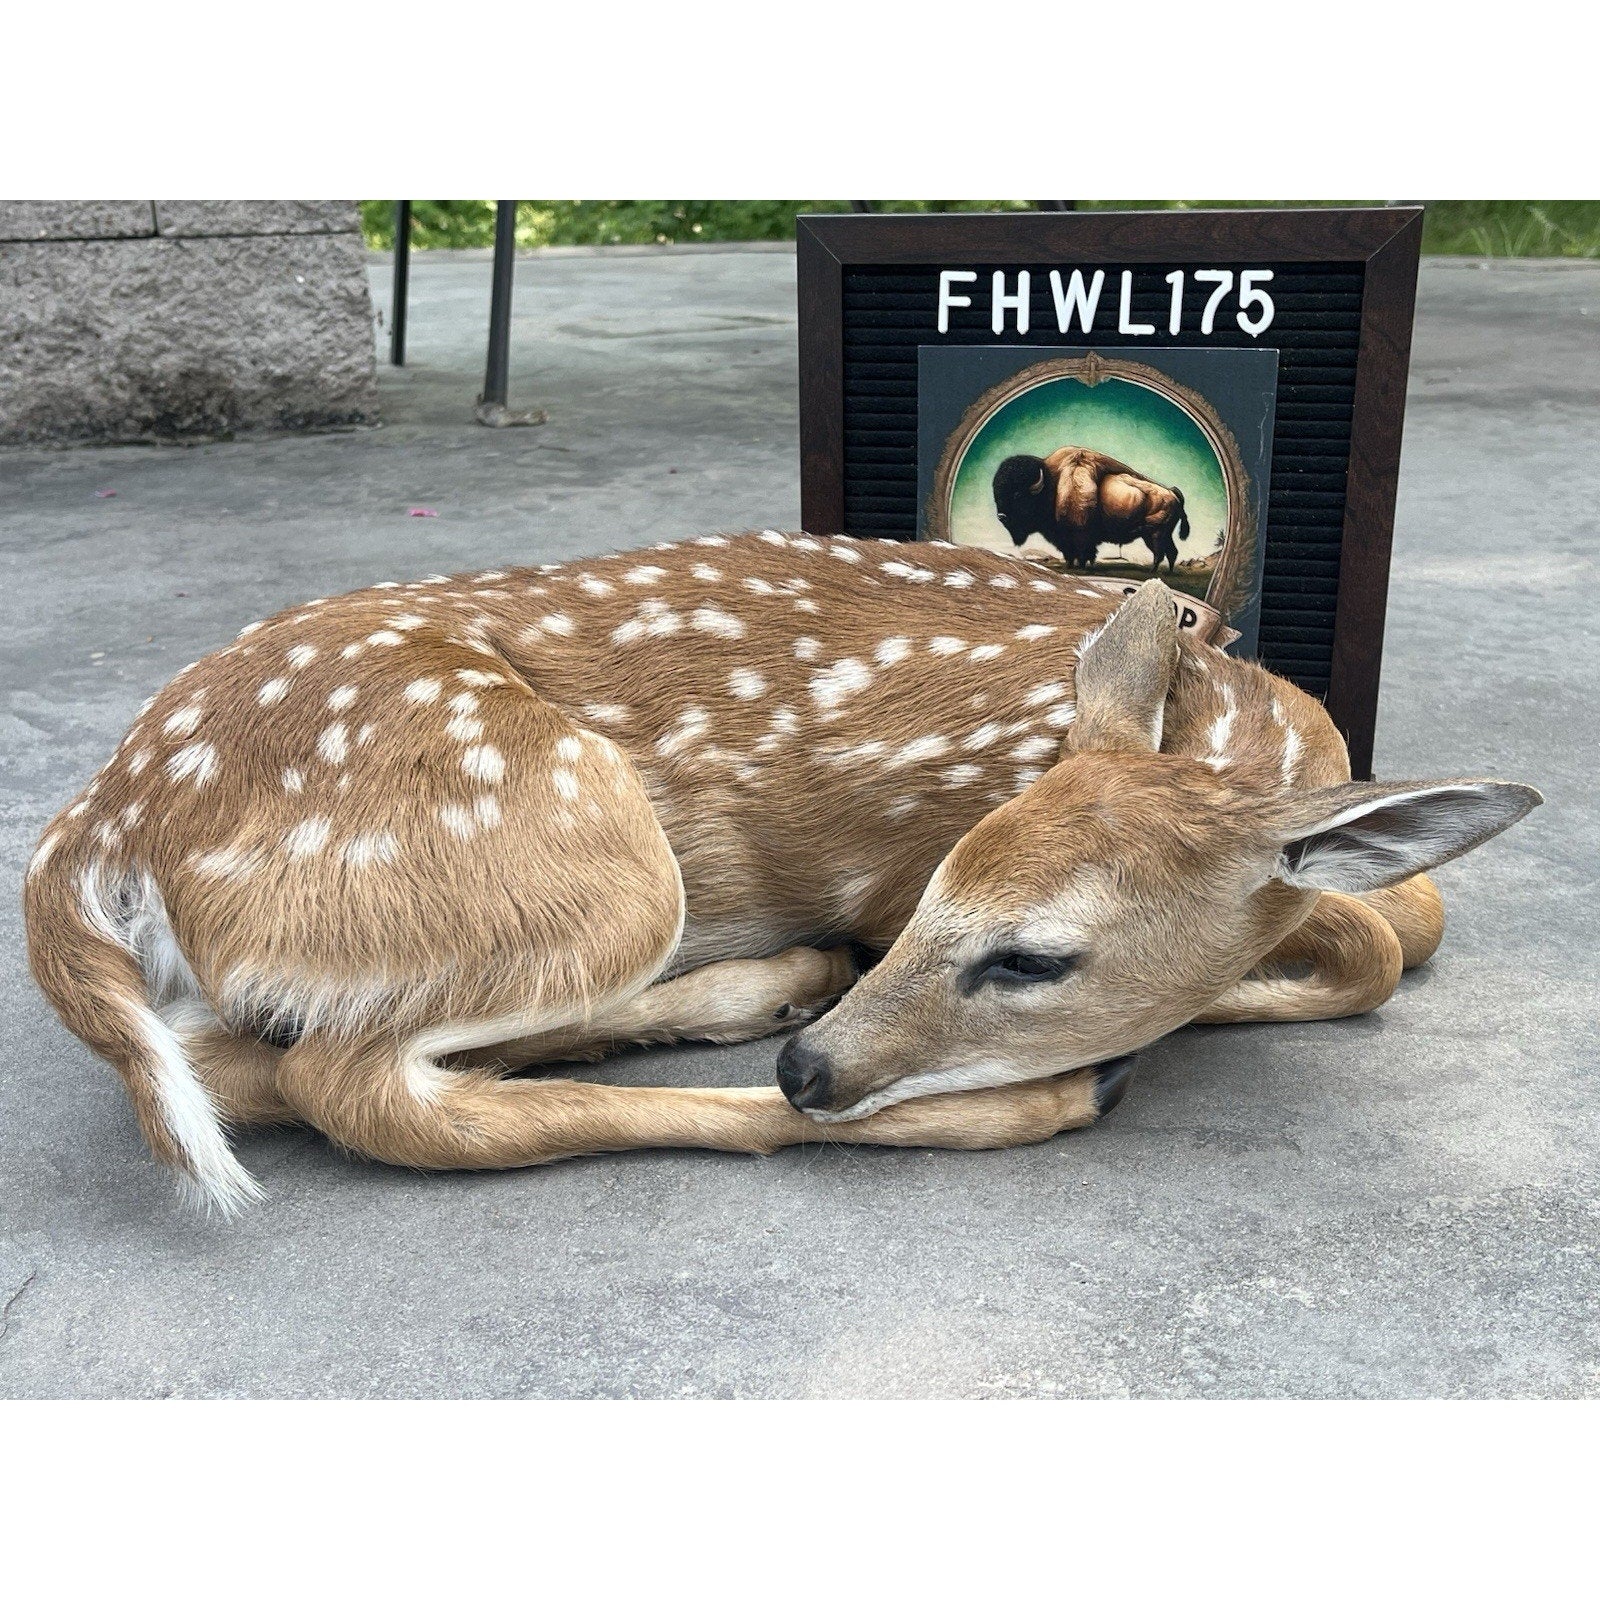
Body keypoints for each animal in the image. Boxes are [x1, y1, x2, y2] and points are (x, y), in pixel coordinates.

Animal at [24, 530, 1540, 1215]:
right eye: (932, 891)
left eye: (1032, 955)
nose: (817, 1064)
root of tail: (101, 821)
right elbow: (1375, 946)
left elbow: (1408, 914)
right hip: (579, 849)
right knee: (359, 1092)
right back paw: (1004, 1090)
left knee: (245, 1061)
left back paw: (773, 988)